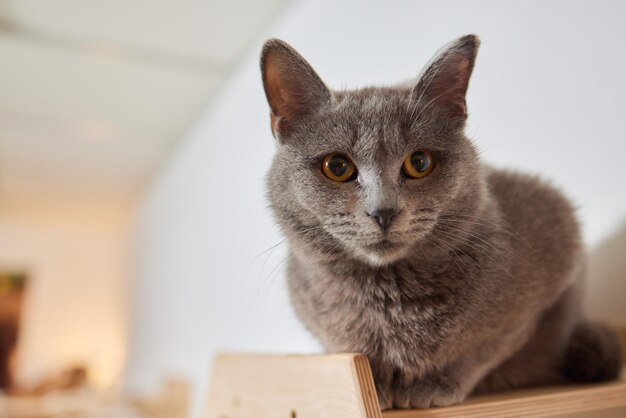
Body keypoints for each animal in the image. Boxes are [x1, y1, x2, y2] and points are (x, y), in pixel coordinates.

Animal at [258, 35, 620, 408]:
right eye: (337, 166)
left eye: (419, 162)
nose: (384, 211)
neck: (387, 297)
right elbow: (350, 350)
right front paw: (378, 384)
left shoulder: (555, 258)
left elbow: (485, 348)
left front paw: (433, 384)